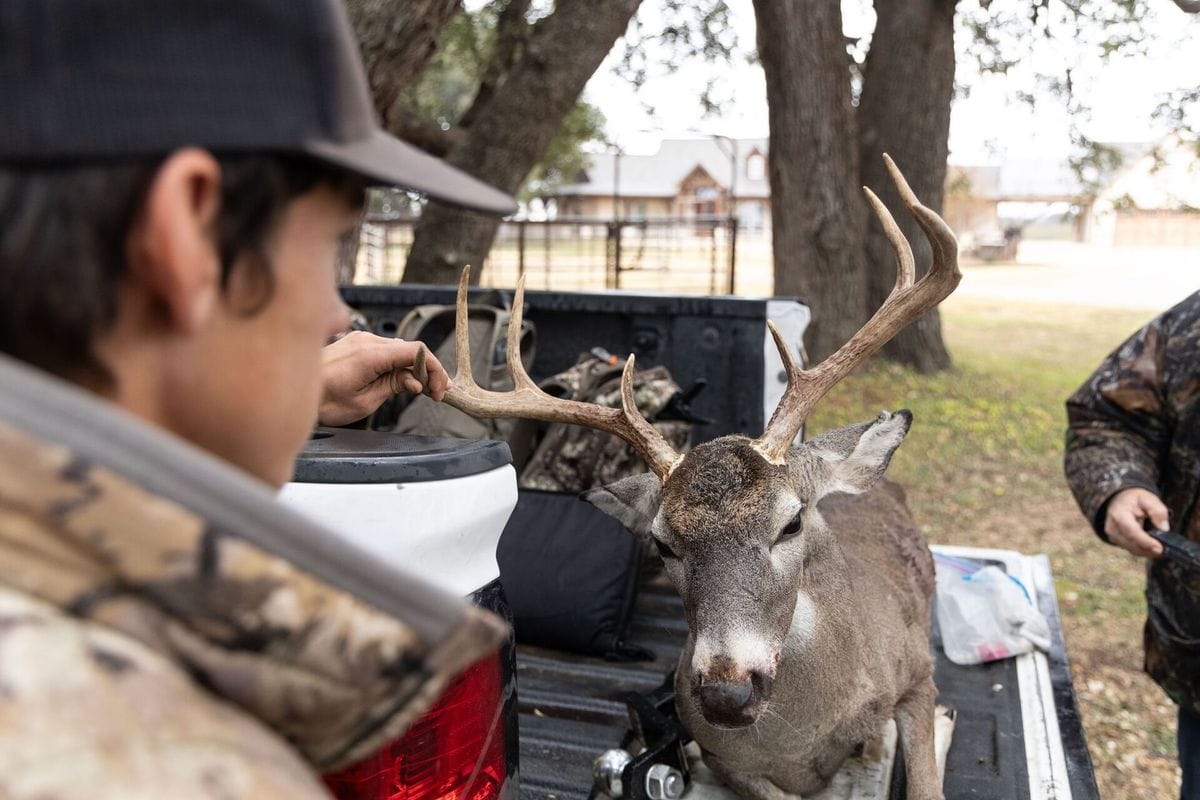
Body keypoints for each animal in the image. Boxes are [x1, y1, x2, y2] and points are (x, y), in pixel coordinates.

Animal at [427, 155, 960, 800]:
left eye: (792, 522)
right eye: (661, 543)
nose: (727, 693)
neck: (808, 734)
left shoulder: (917, 674)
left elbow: (926, 778)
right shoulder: (719, 755)